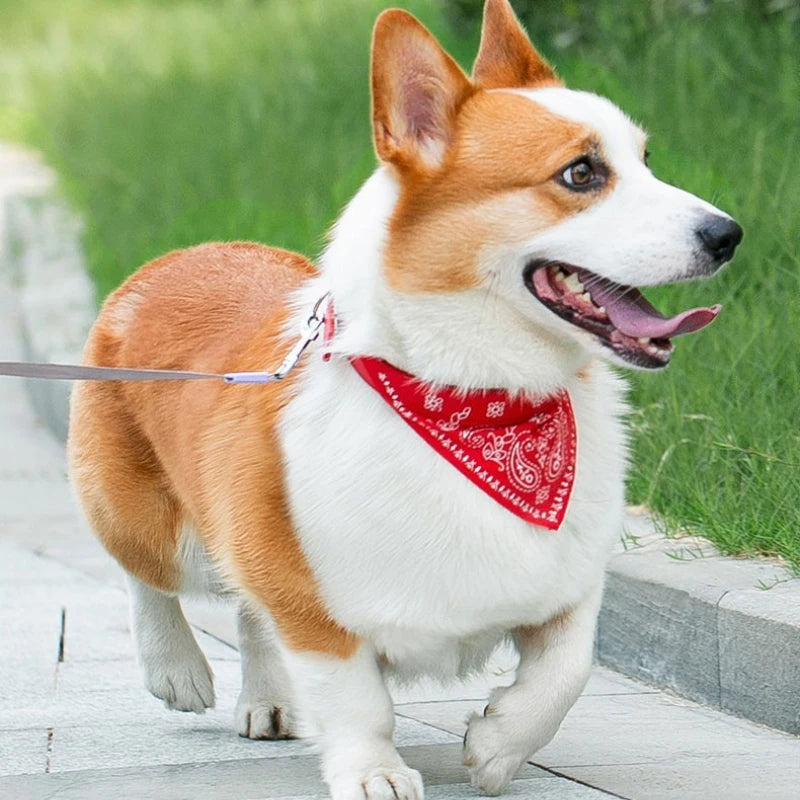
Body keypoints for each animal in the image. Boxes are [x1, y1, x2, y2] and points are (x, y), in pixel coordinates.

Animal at [65, 3, 740, 796]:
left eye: (646, 159)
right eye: (581, 173)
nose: (730, 234)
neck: (475, 399)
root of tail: (176, 257)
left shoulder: (567, 588)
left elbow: (566, 671)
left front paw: (496, 747)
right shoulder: (313, 605)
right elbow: (356, 699)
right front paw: (374, 773)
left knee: (249, 616)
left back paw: (266, 701)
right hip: (168, 527)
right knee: (144, 573)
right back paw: (176, 670)